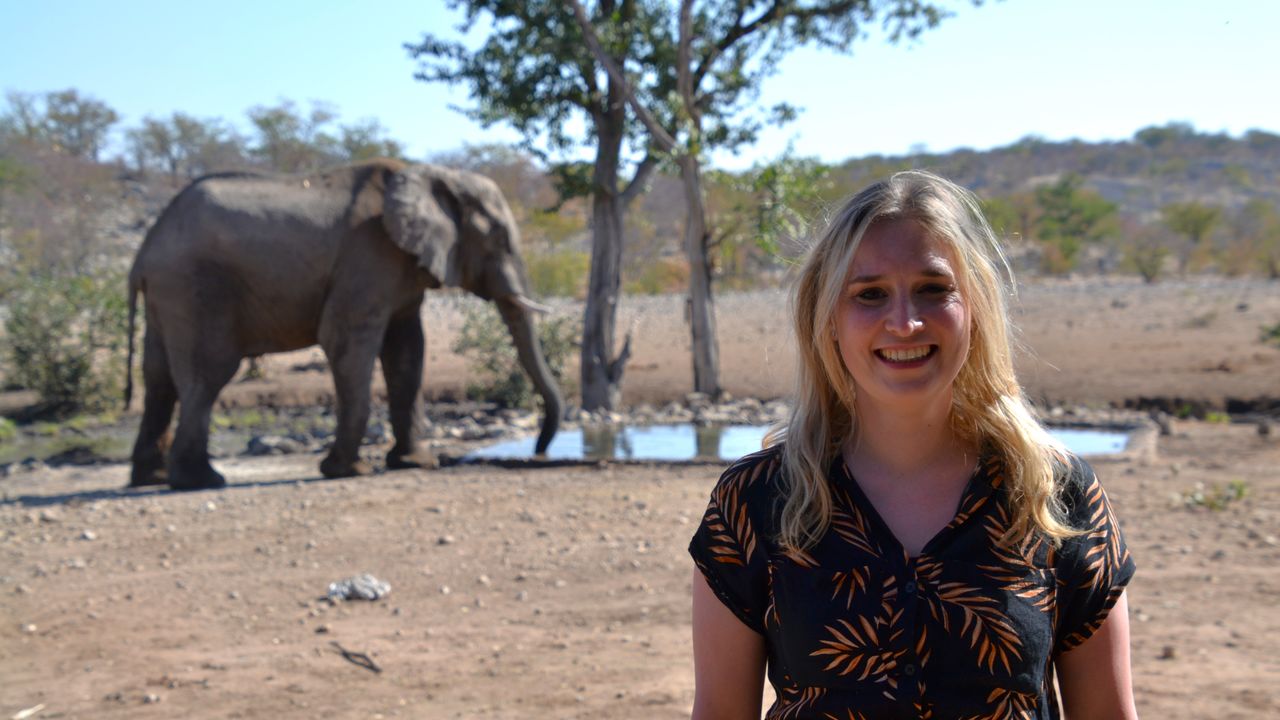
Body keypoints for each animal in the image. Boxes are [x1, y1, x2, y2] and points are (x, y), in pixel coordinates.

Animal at [127, 158, 563, 486]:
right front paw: (348, 471)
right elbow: (346, 341)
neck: (432, 174)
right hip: (195, 285)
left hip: (169, 294)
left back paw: (153, 478)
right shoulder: (368, 255)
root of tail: (144, 250)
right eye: (500, 239)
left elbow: (407, 351)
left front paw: (414, 464)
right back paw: (201, 481)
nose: (540, 450)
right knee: (208, 373)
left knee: (158, 378)